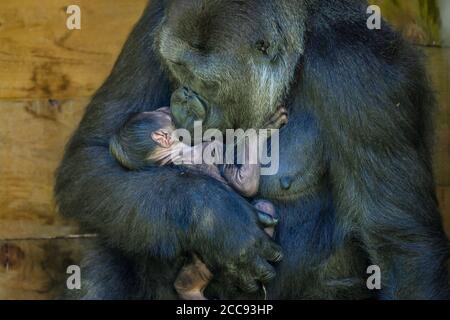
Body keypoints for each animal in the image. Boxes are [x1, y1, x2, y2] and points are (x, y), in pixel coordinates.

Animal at [107, 89, 286, 300]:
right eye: (164, 115)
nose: (166, 108)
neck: (174, 154)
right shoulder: (212, 147)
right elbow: (244, 185)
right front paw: (263, 131)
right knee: (265, 207)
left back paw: (186, 288)